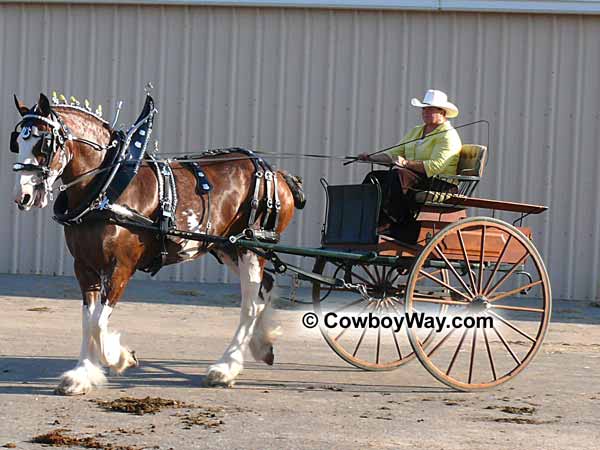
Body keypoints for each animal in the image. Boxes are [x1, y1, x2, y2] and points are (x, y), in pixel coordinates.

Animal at [11, 94, 304, 394]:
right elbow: (87, 321)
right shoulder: (84, 267)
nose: (23, 196)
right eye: (17, 141)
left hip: (250, 249)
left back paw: (226, 367)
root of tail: (277, 173)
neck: (106, 188)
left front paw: (120, 358)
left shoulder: (120, 267)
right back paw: (262, 344)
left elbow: (98, 322)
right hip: (228, 247)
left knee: (251, 304)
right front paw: (83, 373)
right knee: (264, 287)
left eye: (43, 143)